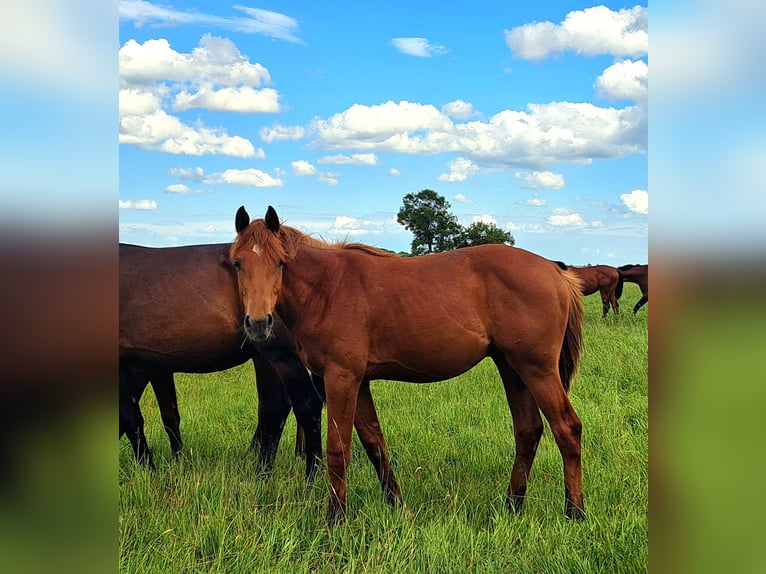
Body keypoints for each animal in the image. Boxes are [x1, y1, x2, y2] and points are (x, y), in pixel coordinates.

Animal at [119, 242, 324, 479]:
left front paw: (149, 469)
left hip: (278, 354)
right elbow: (168, 414)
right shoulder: (154, 366)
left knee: (296, 404)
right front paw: (177, 462)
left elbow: (131, 417)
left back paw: (289, 474)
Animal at [229, 205, 586, 522]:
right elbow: (374, 444)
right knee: (528, 431)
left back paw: (575, 512)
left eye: (280, 263)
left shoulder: (341, 378)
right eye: (237, 263)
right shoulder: (359, 381)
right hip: (511, 367)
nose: (258, 323)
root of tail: (556, 270)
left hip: (537, 369)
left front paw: (335, 519)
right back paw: (512, 506)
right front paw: (396, 506)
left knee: (567, 428)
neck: (326, 289)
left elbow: (338, 449)